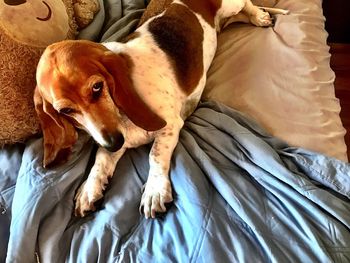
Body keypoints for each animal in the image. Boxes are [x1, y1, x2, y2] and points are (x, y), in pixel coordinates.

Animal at [34, 0, 288, 219]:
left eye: (97, 87)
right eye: (66, 111)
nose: (113, 142)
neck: (122, 114)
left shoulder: (169, 126)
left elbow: (155, 155)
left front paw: (154, 190)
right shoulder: (115, 139)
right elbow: (100, 160)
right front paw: (89, 188)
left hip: (229, 4)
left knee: (246, 4)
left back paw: (260, 17)